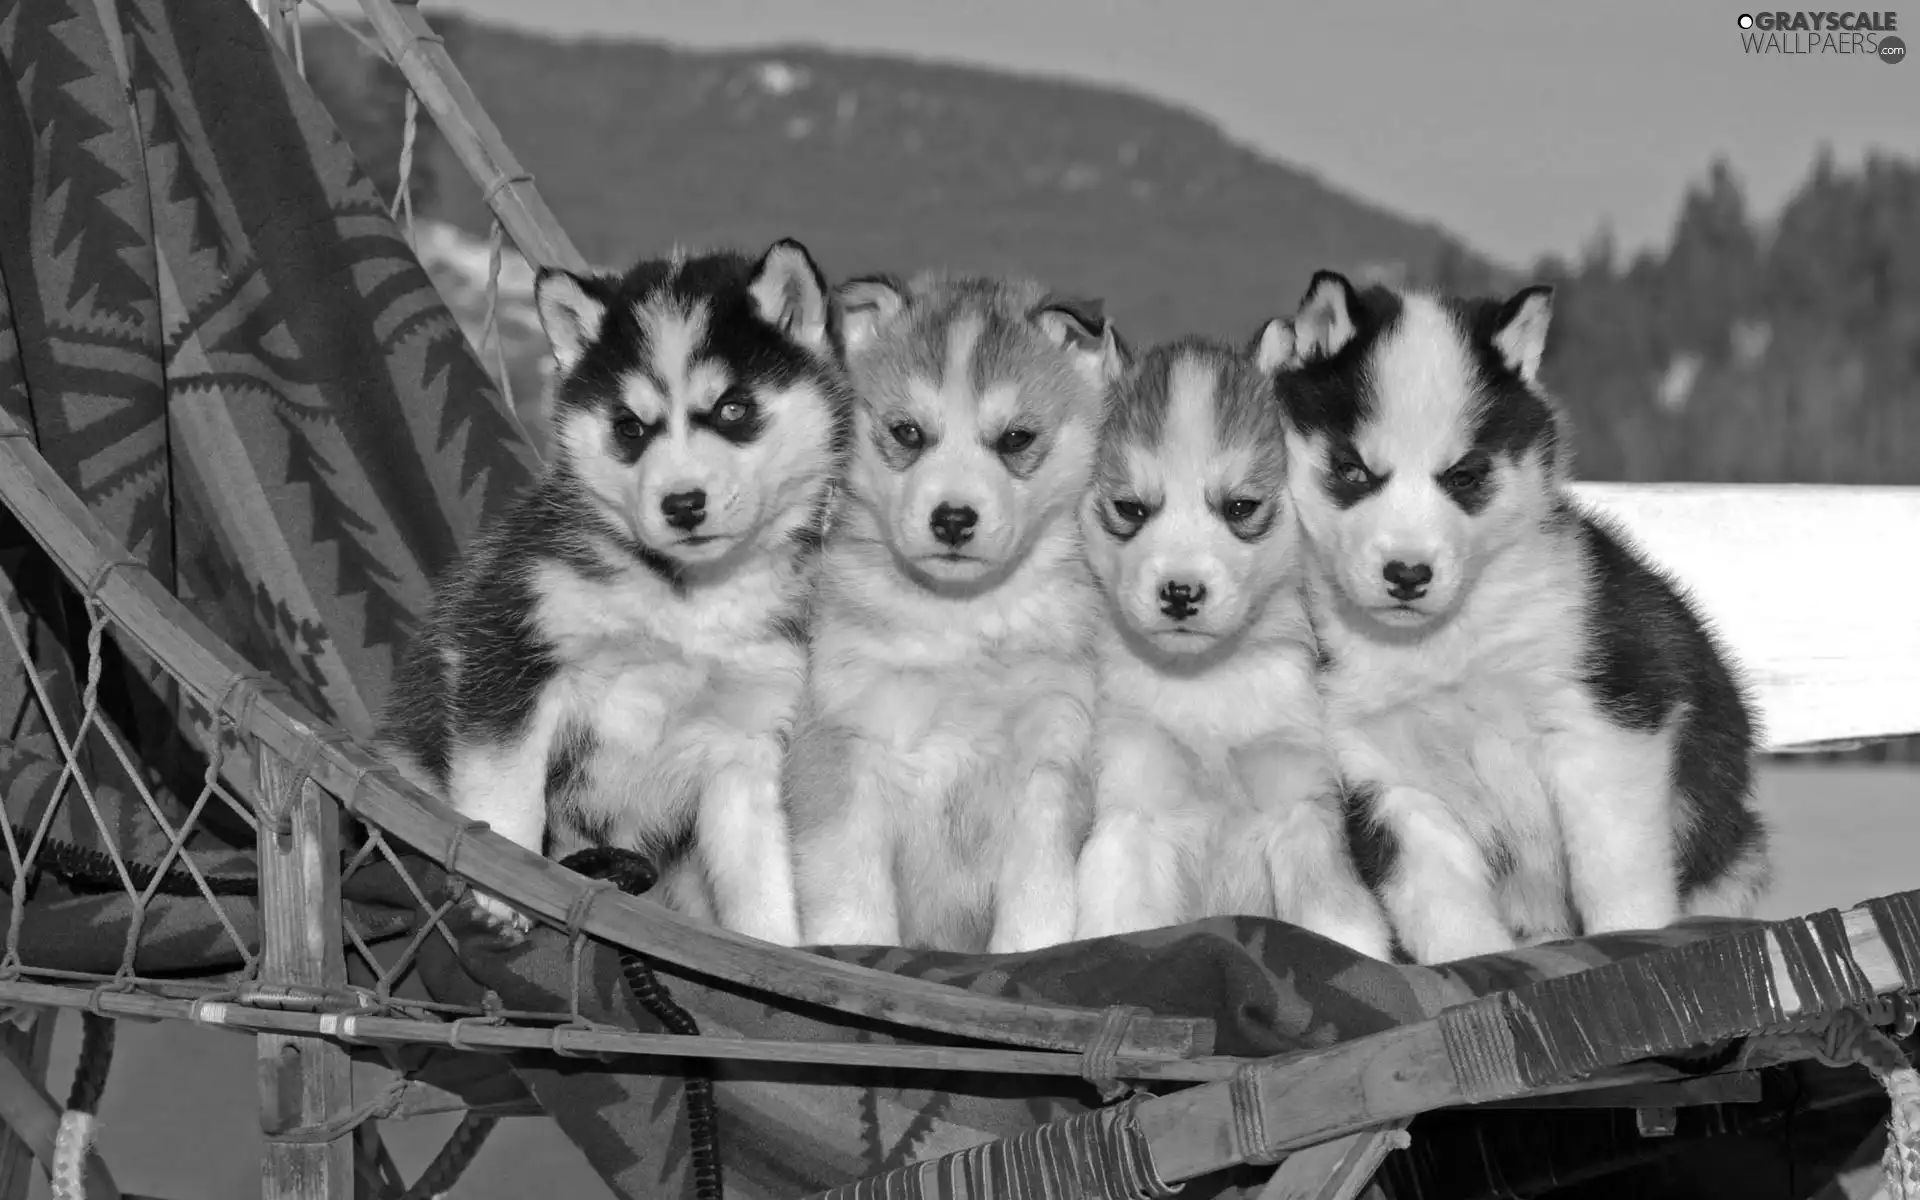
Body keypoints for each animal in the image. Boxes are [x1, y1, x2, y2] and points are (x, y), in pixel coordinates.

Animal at [382, 239, 848, 940]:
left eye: (733, 408)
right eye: (629, 427)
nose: (682, 504)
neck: (686, 602)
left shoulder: (748, 739)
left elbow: (760, 878)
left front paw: (772, 949)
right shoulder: (512, 653)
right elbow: (505, 789)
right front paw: (502, 886)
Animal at [787, 270, 1121, 956]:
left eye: (1016, 438)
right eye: (908, 432)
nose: (952, 518)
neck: (961, 622)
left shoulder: (1053, 758)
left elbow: (1039, 901)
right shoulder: (841, 749)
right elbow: (852, 901)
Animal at [1259, 274, 1766, 963]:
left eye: (1464, 476)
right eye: (1352, 470)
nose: (1408, 573)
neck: (1442, 650)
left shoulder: (1605, 727)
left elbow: (1616, 871)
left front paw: (1629, 937)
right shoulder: (1385, 779)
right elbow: (1440, 904)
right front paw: (1468, 962)